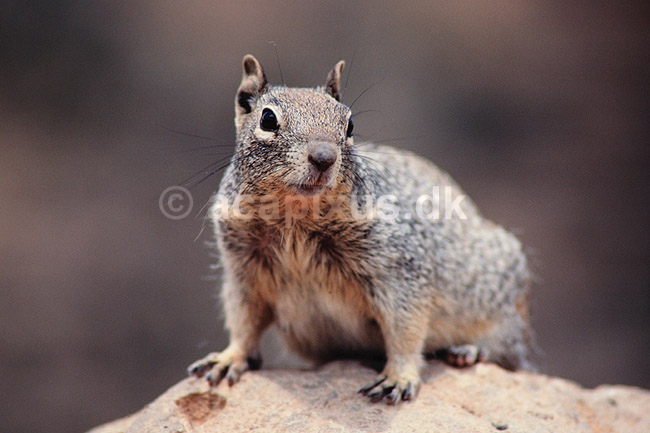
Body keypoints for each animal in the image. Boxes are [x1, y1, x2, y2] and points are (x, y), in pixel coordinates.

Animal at [188, 54, 535, 404]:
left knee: (508, 349)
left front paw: (399, 376)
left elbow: (405, 329)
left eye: (350, 124)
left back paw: (468, 350)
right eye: (268, 119)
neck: (295, 217)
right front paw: (230, 357)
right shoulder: (242, 269)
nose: (324, 157)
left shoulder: (398, 270)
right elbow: (243, 320)